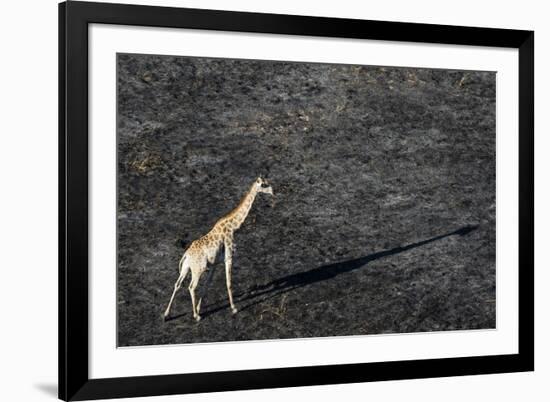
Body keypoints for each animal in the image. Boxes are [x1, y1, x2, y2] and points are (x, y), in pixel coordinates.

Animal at [165, 177, 274, 322]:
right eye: (264, 185)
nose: (273, 191)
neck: (233, 227)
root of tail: (186, 255)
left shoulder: (215, 263)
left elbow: (207, 285)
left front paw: (199, 308)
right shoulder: (229, 257)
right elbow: (228, 282)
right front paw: (234, 308)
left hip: (186, 267)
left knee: (177, 284)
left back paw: (166, 315)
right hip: (198, 269)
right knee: (191, 287)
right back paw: (196, 316)